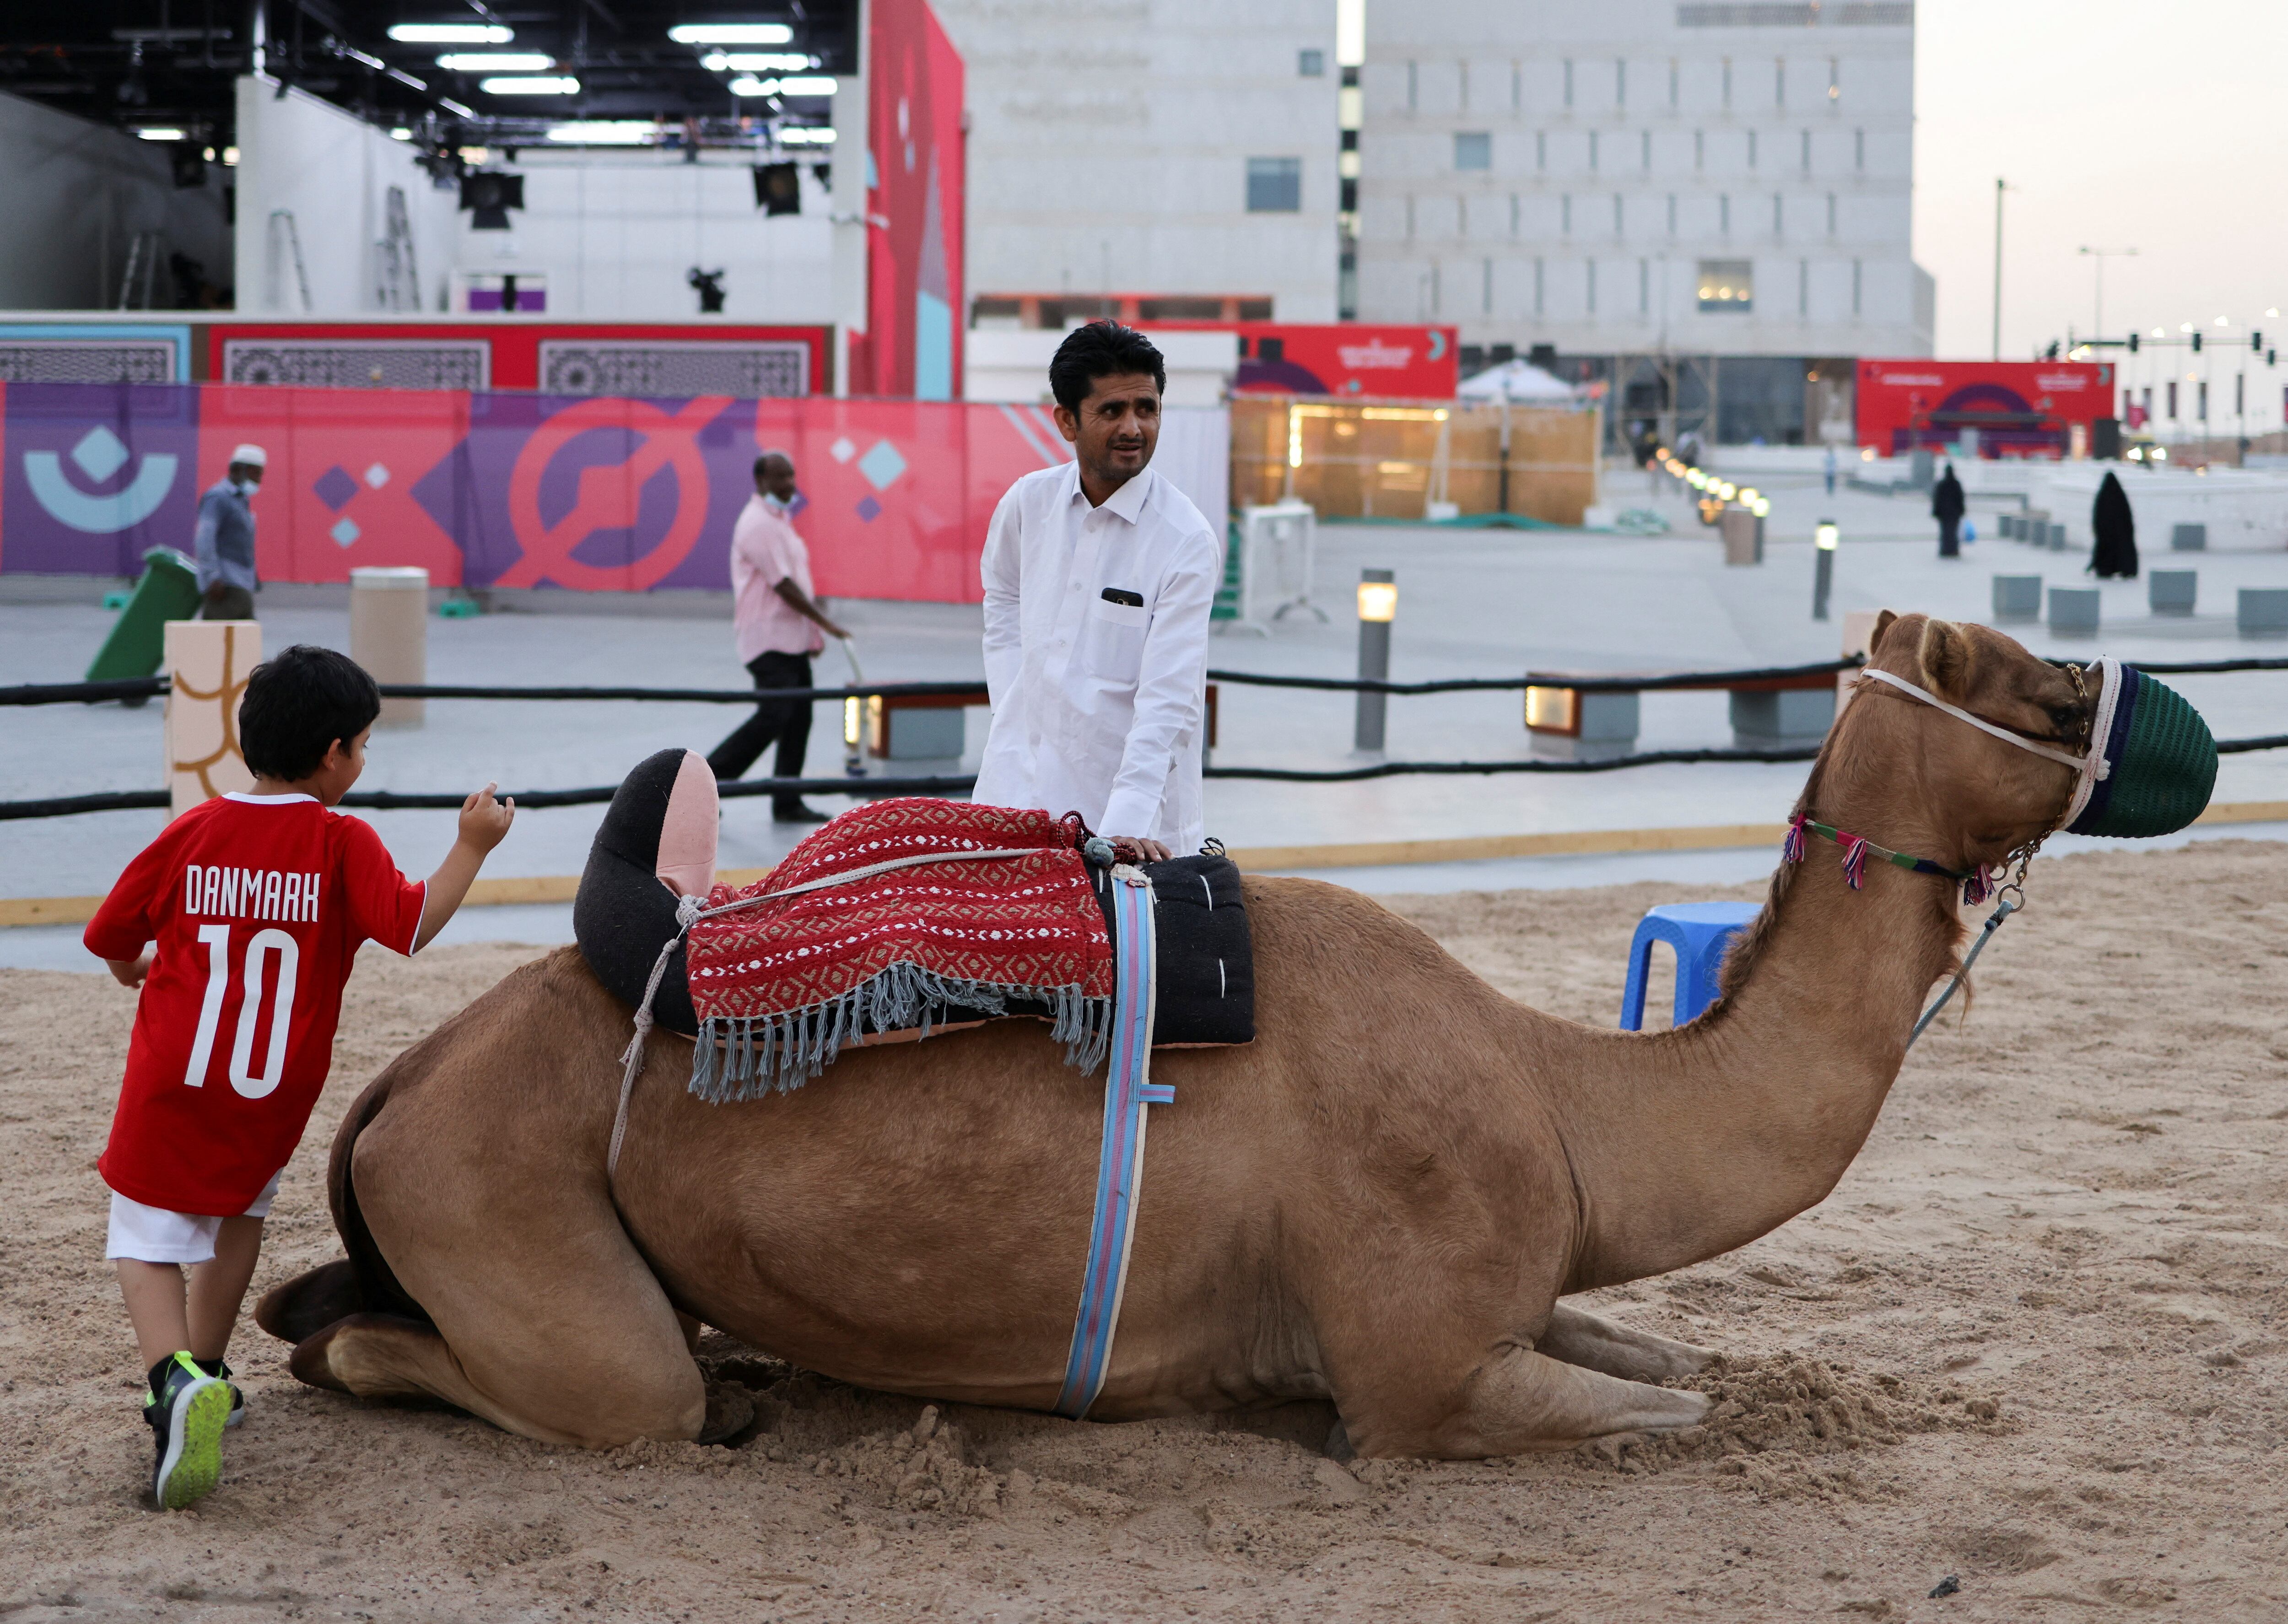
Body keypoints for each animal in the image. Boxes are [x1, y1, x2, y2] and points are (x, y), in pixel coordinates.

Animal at [258, 611, 2105, 1458]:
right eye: (2008, 675)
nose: (2105, 678)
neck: (1559, 1096)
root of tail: (399, 1082)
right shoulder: (1420, 1375)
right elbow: (1682, 1410)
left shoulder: (1520, 1294)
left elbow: (1662, 1360)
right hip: (504, 1198)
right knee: (498, 1368)